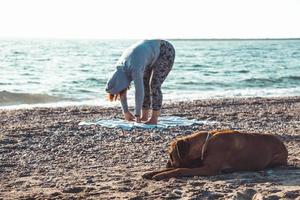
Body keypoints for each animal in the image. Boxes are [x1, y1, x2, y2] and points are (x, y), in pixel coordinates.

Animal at [143, 129, 288, 180]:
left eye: (171, 156)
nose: (167, 163)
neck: (205, 144)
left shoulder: (209, 169)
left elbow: (180, 169)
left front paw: (161, 175)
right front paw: (152, 172)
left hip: (276, 159)